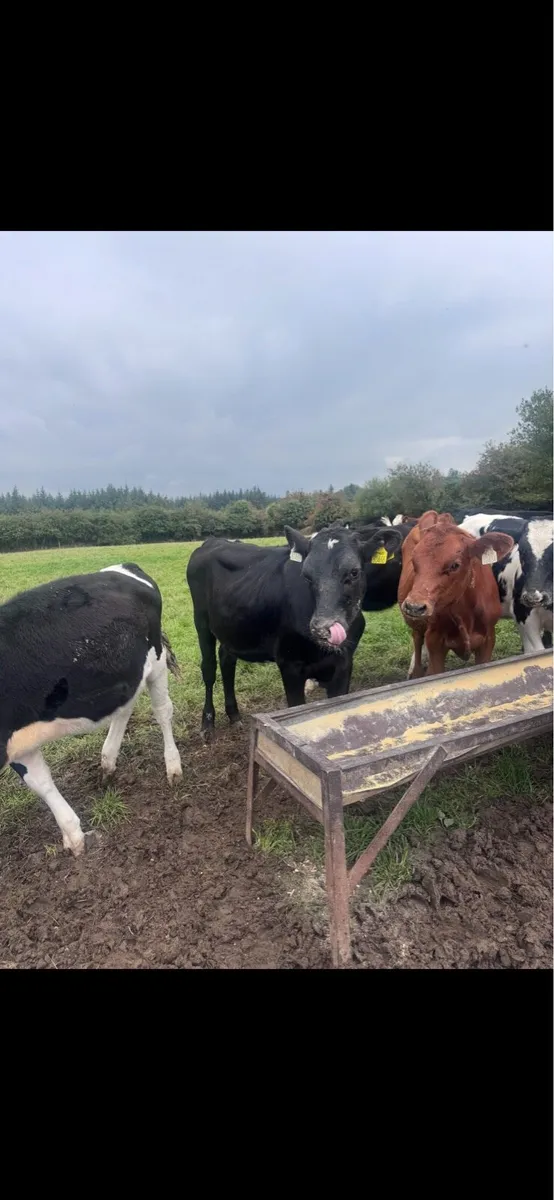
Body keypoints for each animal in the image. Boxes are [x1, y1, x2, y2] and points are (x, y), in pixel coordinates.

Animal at [0, 563, 183, 855]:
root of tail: (125, 566)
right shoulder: (16, 738)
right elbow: (40, 782)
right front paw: (74, 836)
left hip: (156, 660)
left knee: (163, 711)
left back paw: (173, 767)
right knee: (125, 709)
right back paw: (108, 762)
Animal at [186, 523, 403, 736]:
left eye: (354, 572)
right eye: (306, 575)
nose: (322, 628)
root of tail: (214, 541)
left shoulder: (344, 663)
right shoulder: (289, 664)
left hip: (232, 629)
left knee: (226, 659)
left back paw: (234, 715)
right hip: (201, 619)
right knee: (209, 668)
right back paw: (207, 723)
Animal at [398, 511, 514, 677]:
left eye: (455, 565)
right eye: (414, 561)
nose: (414, 606)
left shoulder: (488, 639)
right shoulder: (435, 642)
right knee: (417, 638)